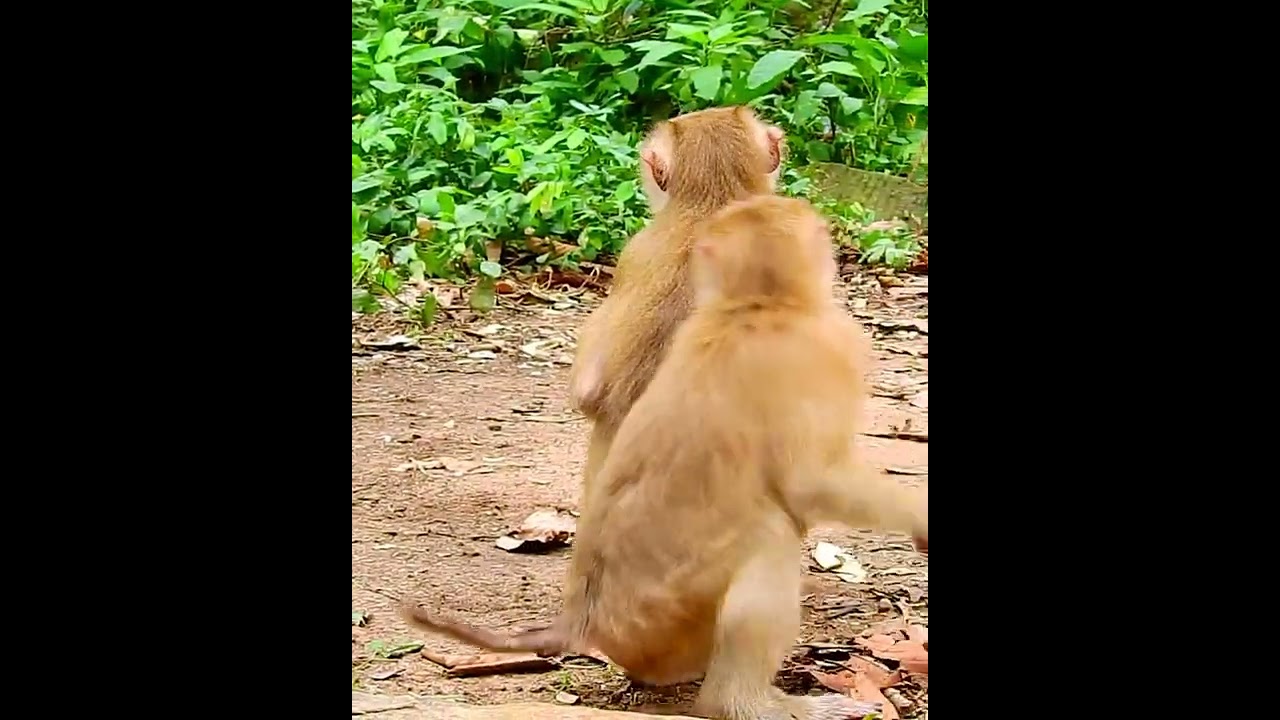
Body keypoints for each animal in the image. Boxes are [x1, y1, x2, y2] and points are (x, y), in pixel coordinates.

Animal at [403, 196, 927, 720]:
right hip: (668, 615)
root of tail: (580, 619)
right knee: (772, 538)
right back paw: (744, 702)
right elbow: (813, 481)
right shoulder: (832, 348)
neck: (753, 304)